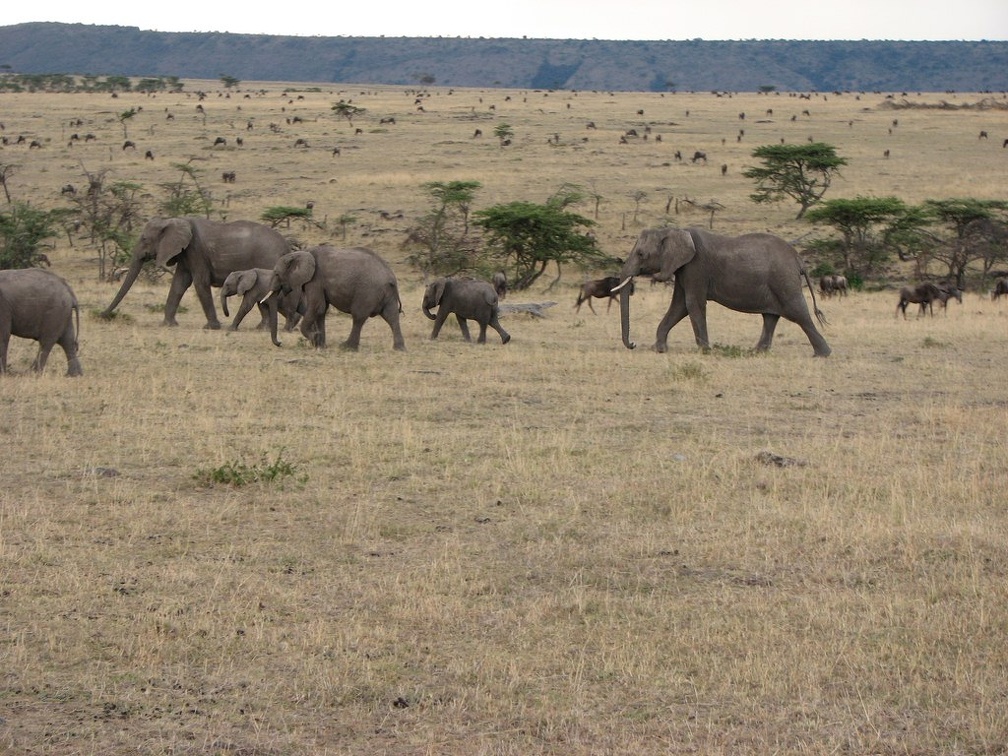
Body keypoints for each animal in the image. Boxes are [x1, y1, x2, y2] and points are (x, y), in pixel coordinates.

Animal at [101, 215, 292, 328]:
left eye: (145, 239)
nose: (103, 315)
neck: (173, 220)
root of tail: (286, 246)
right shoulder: (184, 253)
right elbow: (179, 284)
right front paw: (168, 325)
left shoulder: (196, 250)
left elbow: (200, 283)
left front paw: (213, 327)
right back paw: (264, 327)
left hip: (267, 259)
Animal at [264, 245, 405, 352]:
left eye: (277, 274)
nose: (280, 343)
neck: (301, 253)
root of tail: (391, 277)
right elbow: (321, 311)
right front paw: (320, 345)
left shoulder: (315, 280)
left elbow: (317, 307)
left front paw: (314, 338)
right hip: (386, 293)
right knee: (391, 316)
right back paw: (399, 349)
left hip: (368, 291)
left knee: (358, 317)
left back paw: (346, 347)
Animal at [608, 227, 830, 358]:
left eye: (641, 254)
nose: (633, 344)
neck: (674, 230)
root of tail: (798, 259)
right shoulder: (683, 269)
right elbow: (679, 306)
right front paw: (660, 350)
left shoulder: (696, 266)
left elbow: (692, 304)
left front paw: (705, 351)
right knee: (770, 316)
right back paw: (756, 353)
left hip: (783, 280)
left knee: (798, 313)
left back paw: (822, 354)